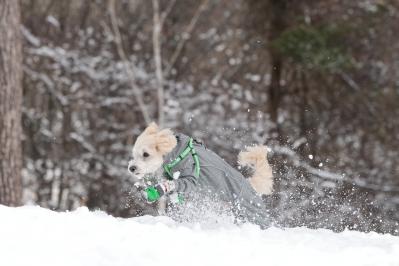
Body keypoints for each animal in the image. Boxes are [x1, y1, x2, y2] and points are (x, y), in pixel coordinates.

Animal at [129, 122, 276, 229]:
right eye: (134, 154)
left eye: (146, 154)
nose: (131, 168)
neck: (174, 153)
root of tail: (251, 186)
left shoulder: (190, 175)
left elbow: (178, 183)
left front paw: (159, 188)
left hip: (252, 213)